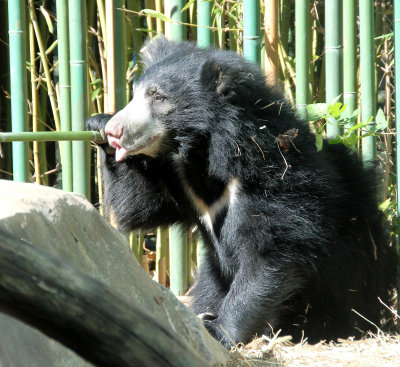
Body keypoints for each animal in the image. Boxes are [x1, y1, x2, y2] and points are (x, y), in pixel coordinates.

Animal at [86, 38, 396, 350]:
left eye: (158, 97)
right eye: (135, 94)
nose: (115, 130)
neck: (204, 153)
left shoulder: (274, 179)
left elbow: (271, 255)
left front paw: (218, 330)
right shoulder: (179, 180)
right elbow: (140, 206)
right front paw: (99, 124)